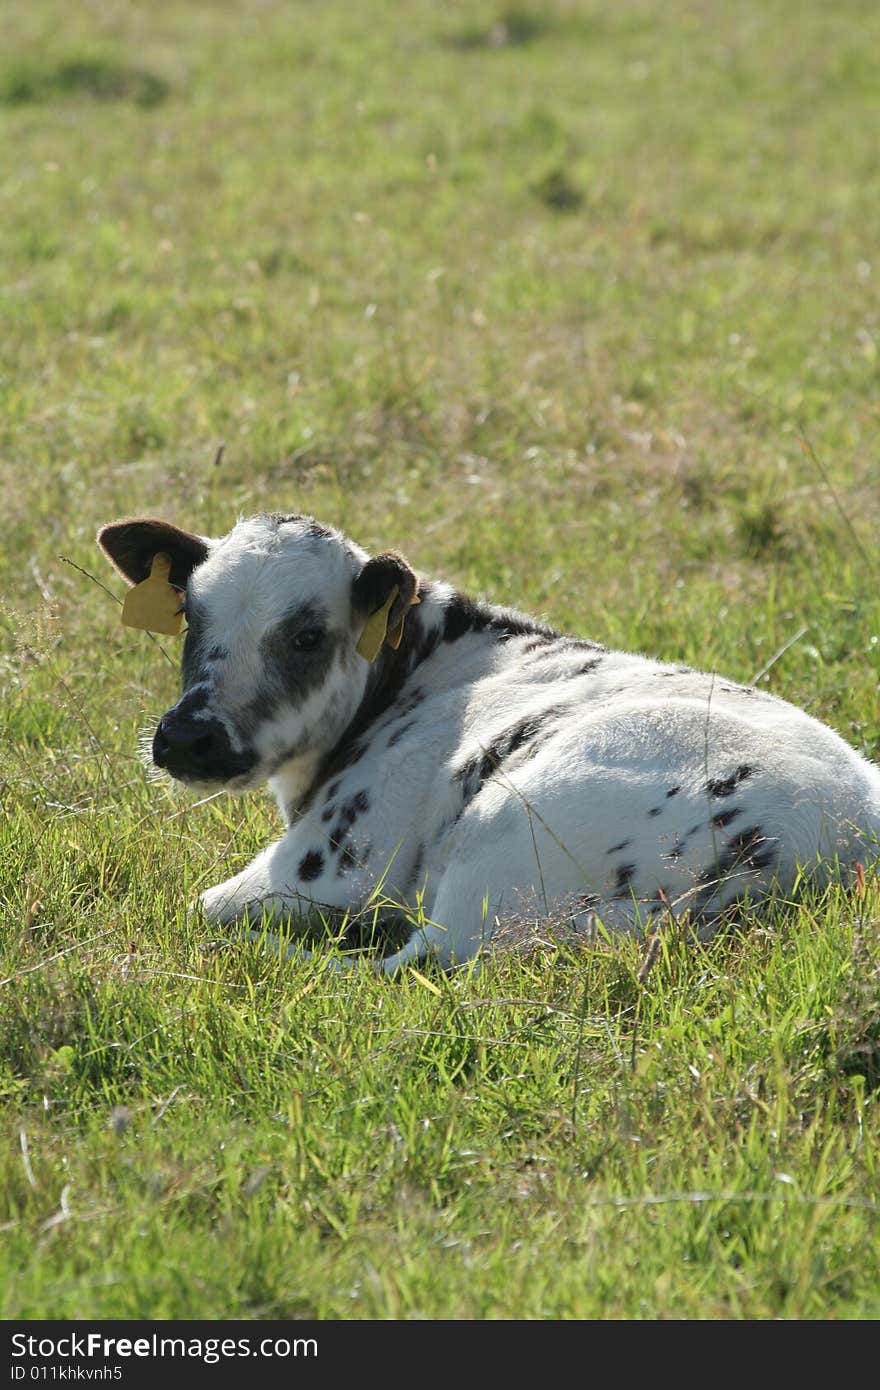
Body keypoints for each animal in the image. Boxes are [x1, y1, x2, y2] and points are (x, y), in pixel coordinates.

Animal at [98, 505, 878, 973]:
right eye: (191, 618)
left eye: (307, 635)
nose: (188, 737)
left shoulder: (334, 863)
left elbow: (203, 908)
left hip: (496, 859)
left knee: (404, 965)